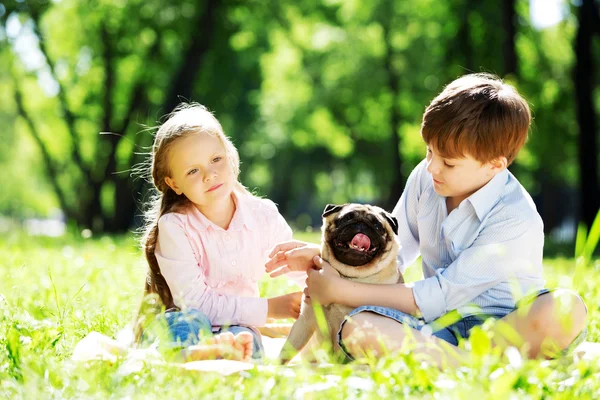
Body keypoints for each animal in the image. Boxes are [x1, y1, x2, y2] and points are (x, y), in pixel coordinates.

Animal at [280, 203, 404, 362]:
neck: (347, 277)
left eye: (377, 225)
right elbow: (287, 348)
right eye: (346, 218)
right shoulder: (305, 321)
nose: (362, 224)